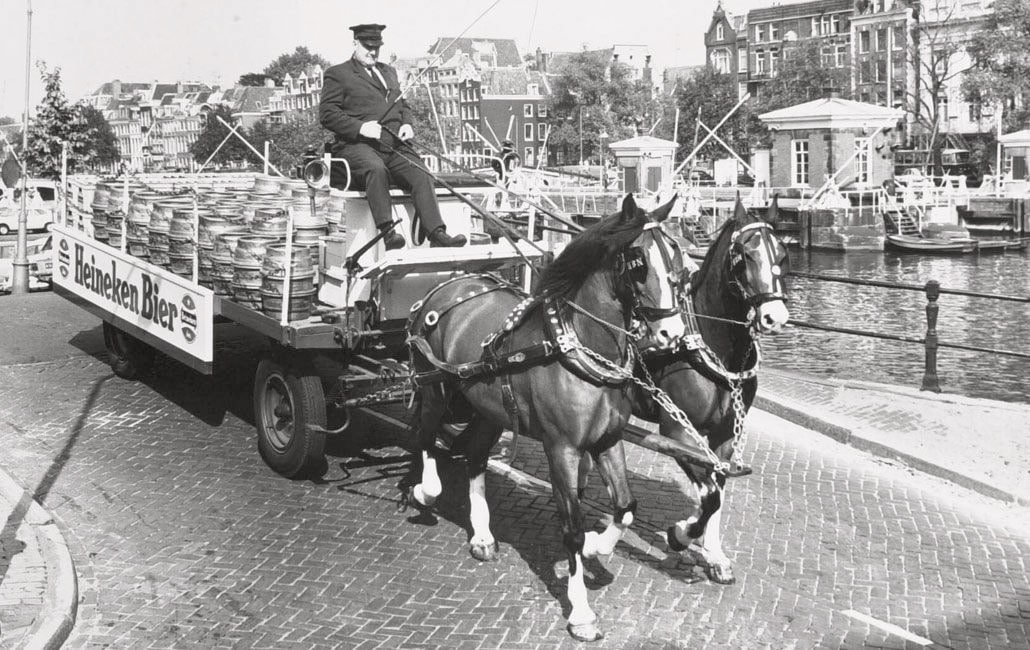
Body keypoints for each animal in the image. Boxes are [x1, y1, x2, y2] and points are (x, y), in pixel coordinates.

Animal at [405, 193, 688, 642]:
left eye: (676, 256)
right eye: (638, 261)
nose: (671, 334)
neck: (576, 344)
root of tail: (446, 286)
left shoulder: (608, 440)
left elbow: (626, 507)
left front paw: (596, 547)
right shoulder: (563, 450)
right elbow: (570, 528)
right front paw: (581, 613)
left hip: (487, 409)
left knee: (474, 457)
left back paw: (482, 535)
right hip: (436, 390)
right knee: (424, 437)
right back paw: (424, 491)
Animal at [634, 199, 786, 585]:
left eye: (783, 252)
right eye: (743, 255)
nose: (775, 316)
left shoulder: (725, 434)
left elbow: (716, 490)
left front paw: (714, 555)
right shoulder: (676, 431)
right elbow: (709, 495)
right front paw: (680, 535)